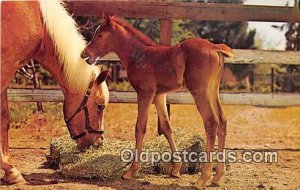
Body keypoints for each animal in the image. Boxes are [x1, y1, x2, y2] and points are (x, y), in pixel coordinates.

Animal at [1, 0, 109, 184]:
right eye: (100, 106)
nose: (98, 142)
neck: (38, 18)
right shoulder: (5, 68)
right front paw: (11, 170)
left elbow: (3, 119)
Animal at [82, 13, 234, 189]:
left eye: (100, 34)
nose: (84, 54)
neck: (138, 55)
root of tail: (214, 47)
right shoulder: (159, 96)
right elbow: (167, 127)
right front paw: (176, 168)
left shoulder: (145, 93)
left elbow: (140, 128)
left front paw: (131, 171)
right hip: (213, 91)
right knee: (222, 121)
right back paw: (218, 176)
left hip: (199, 92)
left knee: (211, 122)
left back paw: (203, 178)